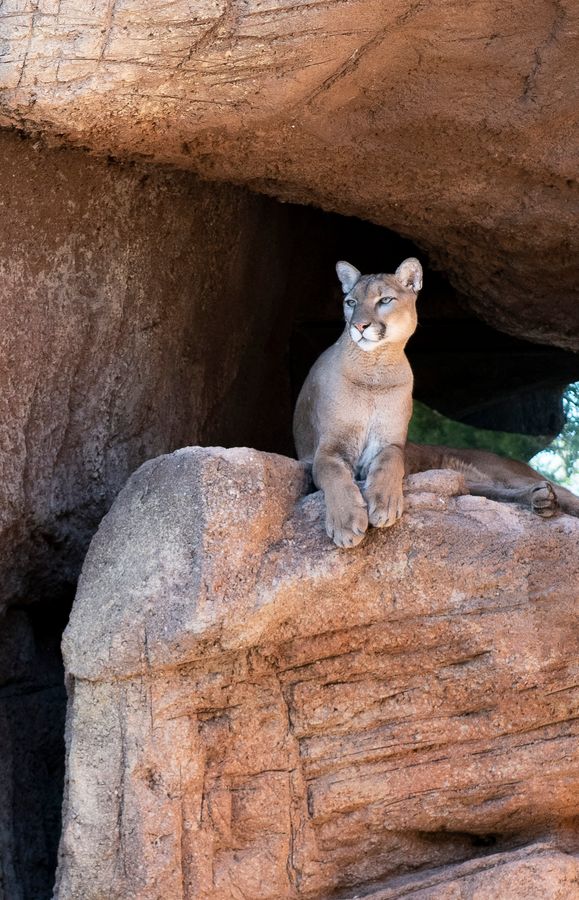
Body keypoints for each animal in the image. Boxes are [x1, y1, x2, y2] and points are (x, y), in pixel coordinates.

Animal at [294, 256, 579, 544]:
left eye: (384, 300)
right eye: (351, 302)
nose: (359, 326)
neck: (375, 369)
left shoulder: (391, 443)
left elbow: (390, 462)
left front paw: (385, 502)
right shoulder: (327, 448)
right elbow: (334, 473)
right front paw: (346, 521)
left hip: (500, 471)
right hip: (470, 482)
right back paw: (541, 499)